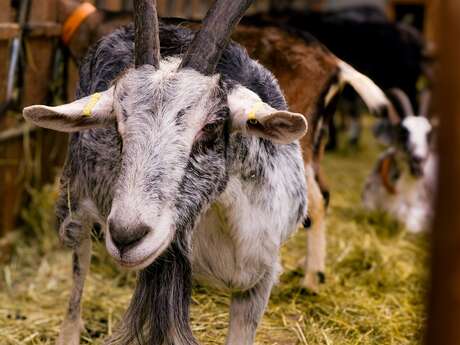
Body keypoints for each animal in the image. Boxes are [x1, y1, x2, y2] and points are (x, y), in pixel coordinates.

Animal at [21, 0, 310, 344]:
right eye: (117, 123)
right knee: (79, 270)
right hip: (76, 202)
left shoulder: (260, 280)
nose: (125, 236)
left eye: (211, 126)